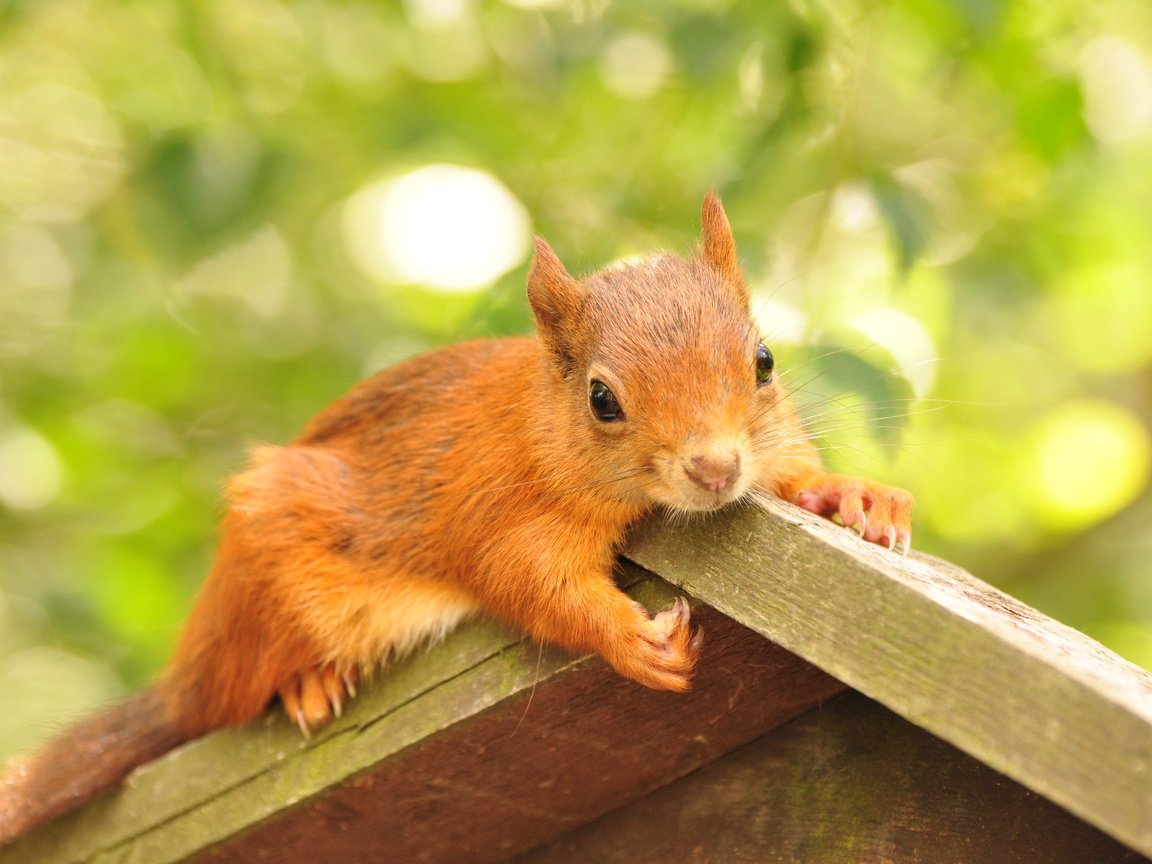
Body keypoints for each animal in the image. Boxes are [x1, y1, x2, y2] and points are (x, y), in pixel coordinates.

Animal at [0, 192, 912, 843]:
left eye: (764, 360)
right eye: (603, 400)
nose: (715, 470)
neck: (543, 428)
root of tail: (191, 668)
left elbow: (796, 478)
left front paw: (856, 497)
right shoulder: (506, 512)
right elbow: (530, 584)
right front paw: (632, 639)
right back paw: (306, 683)